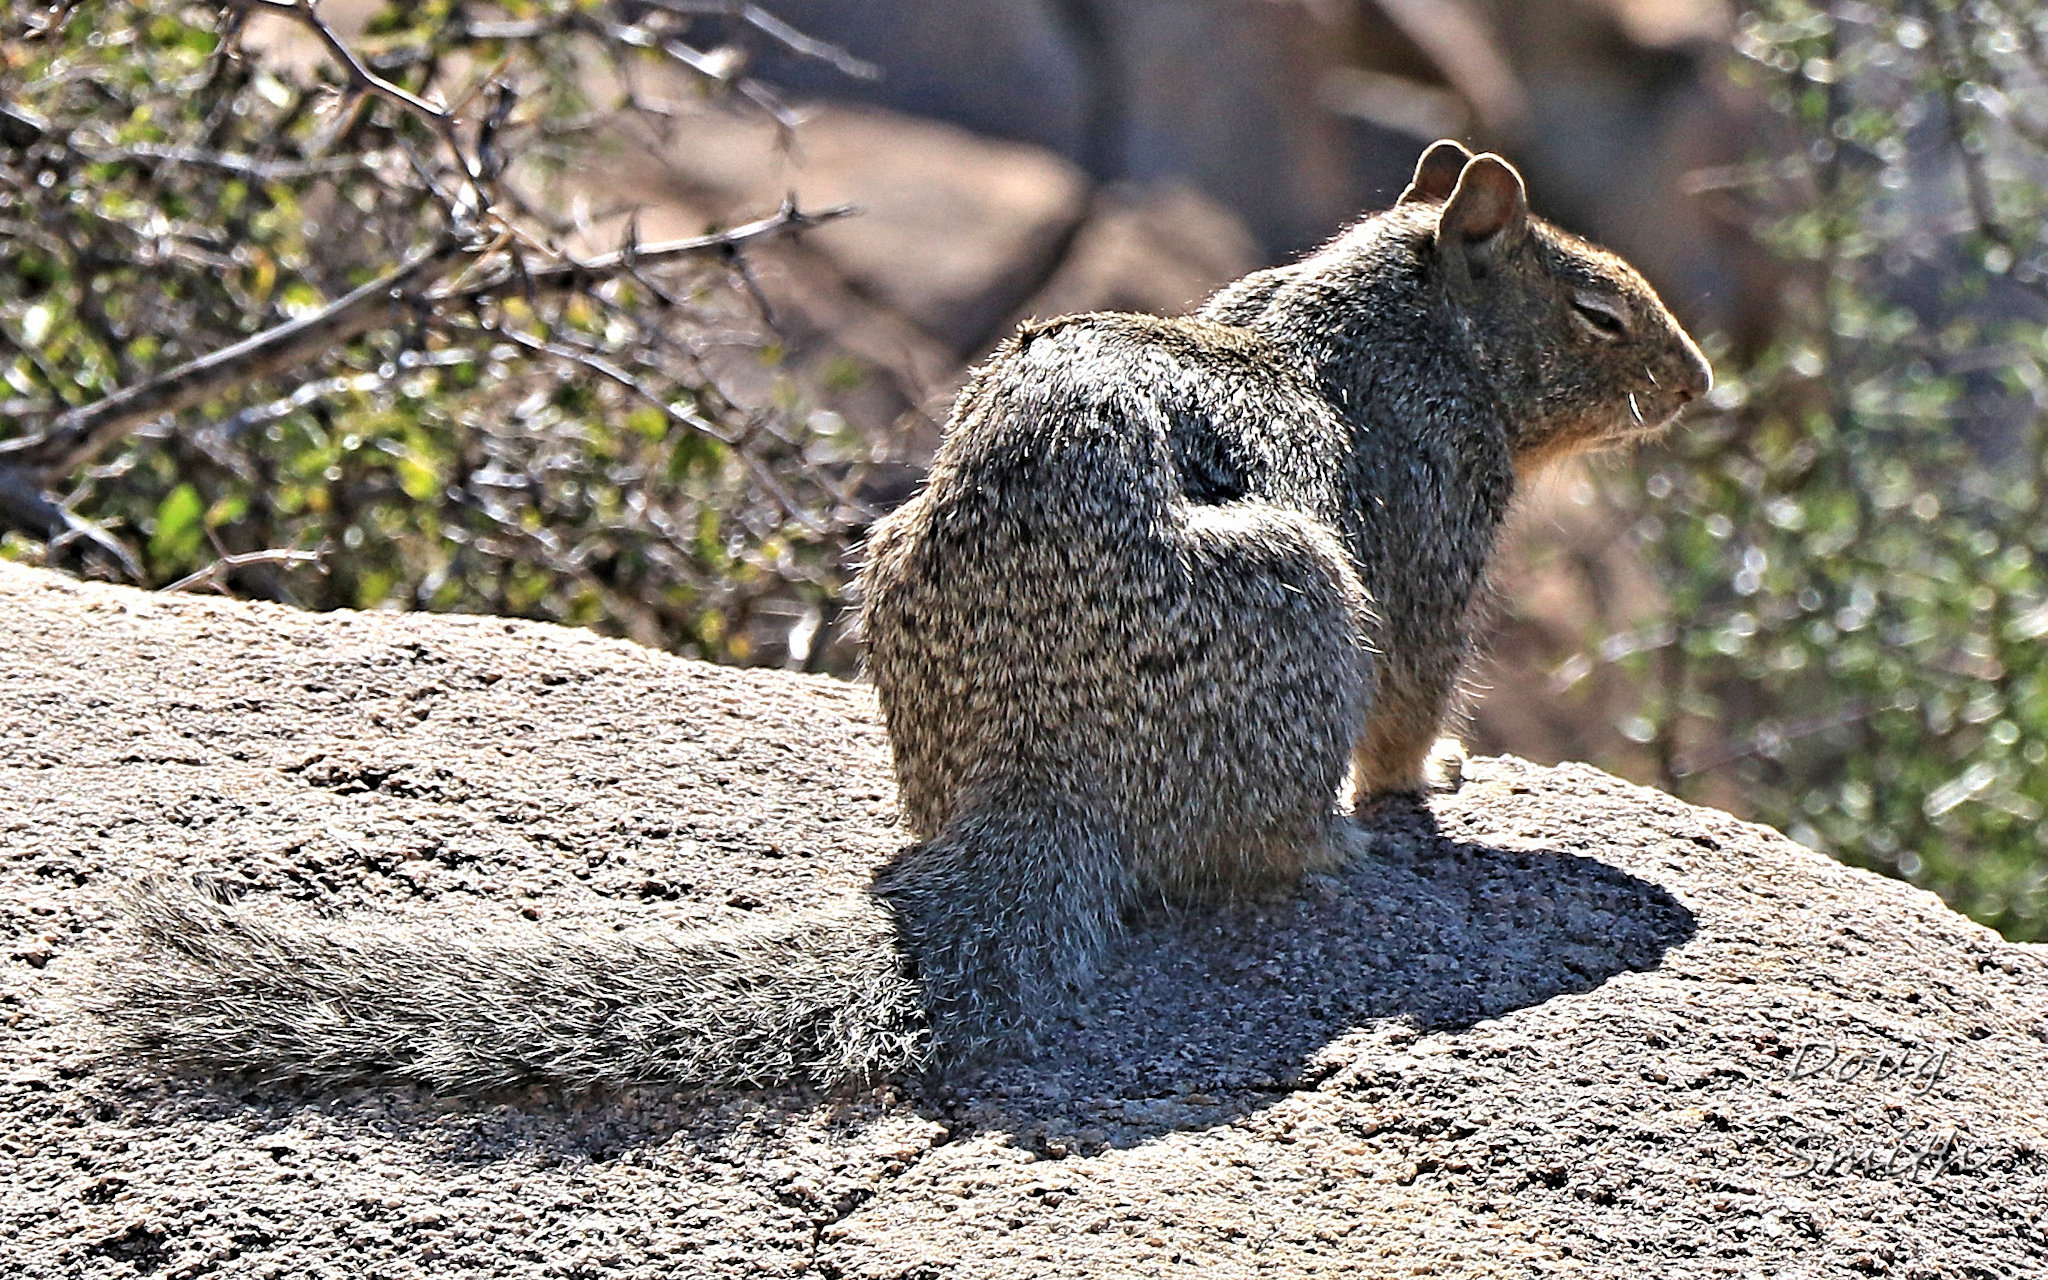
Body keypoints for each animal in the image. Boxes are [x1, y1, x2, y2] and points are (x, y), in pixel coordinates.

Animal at [88, 144, 1712, 1089]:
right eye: (1603, 313)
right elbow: (1418, 698)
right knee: (1257, 846)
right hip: (1309, 603)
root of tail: (1040, 793)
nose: (1700, 384)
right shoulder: (1435, 538)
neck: (1372, 305)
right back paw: (1332, 845)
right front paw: (1432, 784)